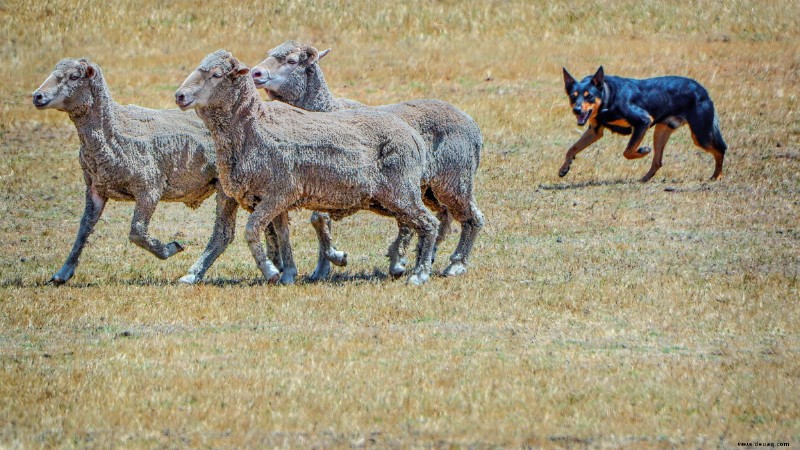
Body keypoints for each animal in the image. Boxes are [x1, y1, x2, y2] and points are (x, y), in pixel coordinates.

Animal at [29, 57, 241, 284]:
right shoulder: (95, 188)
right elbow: (84, 228)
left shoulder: (149, 187)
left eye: (74, 76)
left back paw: (193, 273)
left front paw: (169, 248)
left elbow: (137, 232)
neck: (114, 130)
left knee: (222, 234)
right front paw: (64, 271)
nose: (37, 96)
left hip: (227, 187)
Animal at [175, 50, 440, 284]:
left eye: (217, 74)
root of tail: (412, 135)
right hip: (389, 197)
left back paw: (419, 274)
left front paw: (271, 271)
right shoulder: (276, 198)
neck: (255, 128)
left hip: (402, 191)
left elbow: (251, 230)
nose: (179, 96)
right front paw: (289, 274)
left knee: (429, 224)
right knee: (415, 224)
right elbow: (283, 235)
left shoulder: (280, 192)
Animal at [253, 40, 484, 278]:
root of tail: (471, 123)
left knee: (472, 217)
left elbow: (318, 219)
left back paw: (455, 264)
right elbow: (320, 221)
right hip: (430, 187)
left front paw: (335, 258)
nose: (256, 72)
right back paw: (422, 256)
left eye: (291, 61)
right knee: (444, 216)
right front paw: (322, 268)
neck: (327, 109)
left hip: (455, 179)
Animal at [560, 65, 728, 181]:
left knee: (720, 150)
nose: (576, 110)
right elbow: (571, 149)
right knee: (658, 162)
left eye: (589, 96)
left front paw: (643, 151)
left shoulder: (643, 121)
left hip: (701, 136)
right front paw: (564, 168)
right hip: (661, 132)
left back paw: (717, 176)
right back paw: (644, 179)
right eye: (573, 96)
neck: (608, 97)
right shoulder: (595, 131)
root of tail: (703, 90)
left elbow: (628, 151)